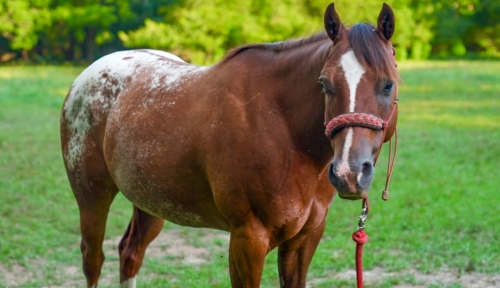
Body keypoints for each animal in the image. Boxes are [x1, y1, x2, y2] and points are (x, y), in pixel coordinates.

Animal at [60, 2, 400, 288]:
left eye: (388, 84)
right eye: (324, 84)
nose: (349, 174)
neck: (285, 133)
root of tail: (86, 77)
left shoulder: (304, 239)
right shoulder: (247, 240)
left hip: (149, 202)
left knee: (130, 254)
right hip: (92, 198)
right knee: (93, 259)